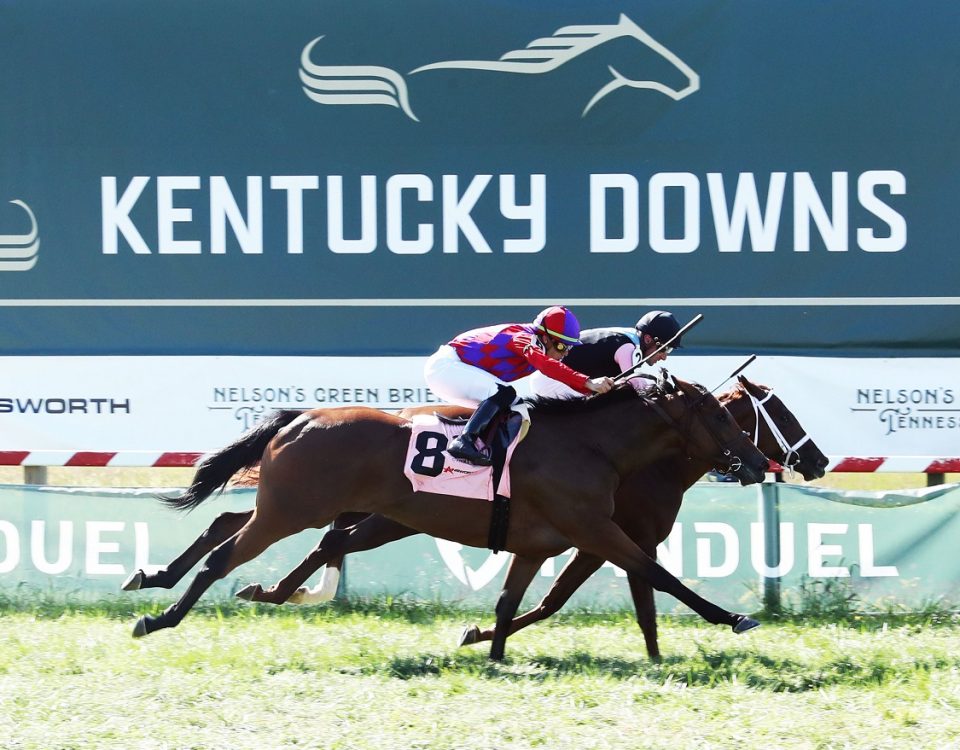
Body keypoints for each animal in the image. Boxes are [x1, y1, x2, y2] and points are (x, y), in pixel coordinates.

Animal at [129, 378, 772, 644]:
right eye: (721, 414)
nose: (758, 461)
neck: (592, 445)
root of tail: (302, 417)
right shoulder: (593, 527)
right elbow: (658, 575)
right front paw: (732, 617)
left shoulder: (557, 537)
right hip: (295, 510)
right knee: (223, 556)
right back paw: (161, 618)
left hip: (299, 506)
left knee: (229, 527)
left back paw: (156, 576)